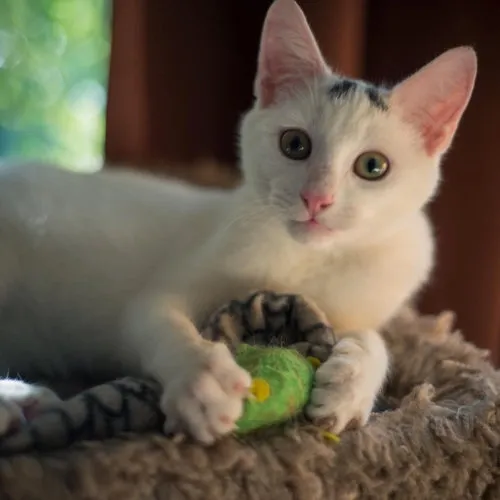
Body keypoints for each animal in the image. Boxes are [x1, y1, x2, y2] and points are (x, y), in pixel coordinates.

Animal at [0, 0, 476, 442]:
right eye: (295, 144)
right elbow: (158, 320)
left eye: (373, 166)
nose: (317, 198)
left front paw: (351, 382)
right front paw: (201, 378)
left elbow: (375, 339)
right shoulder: (165, 289)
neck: (307, 261)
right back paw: (18, 402)